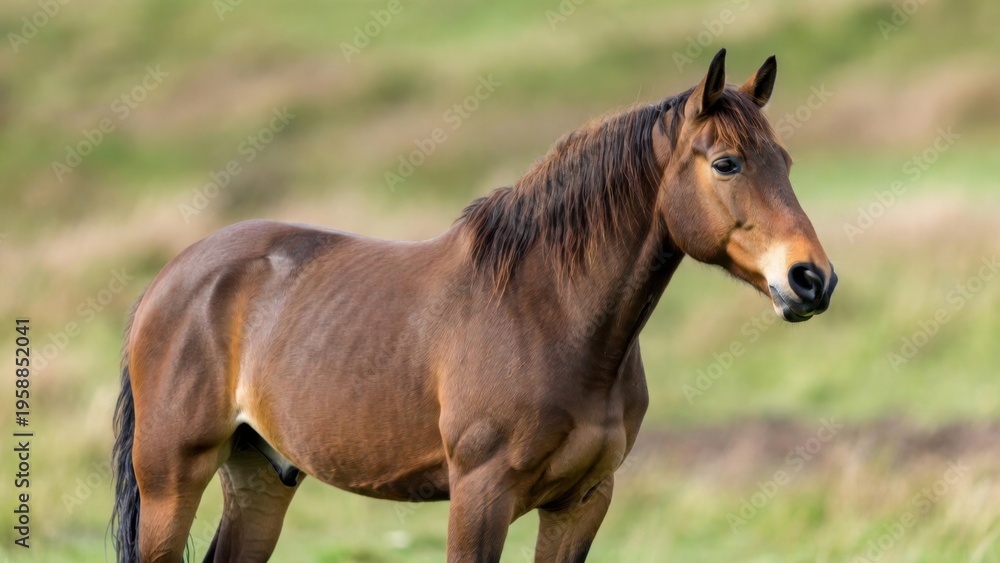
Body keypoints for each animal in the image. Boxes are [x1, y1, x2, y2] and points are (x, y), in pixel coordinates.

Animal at [111, 49, 837, 562]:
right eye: (726, 163)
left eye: (786, 160)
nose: (812, 280)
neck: (549, 316)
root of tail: (170, 280)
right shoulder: (479, 497)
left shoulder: (581, 502)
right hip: (172, 479)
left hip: (261, 476)